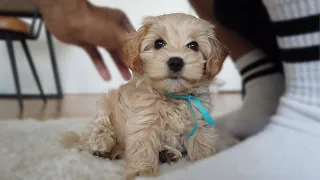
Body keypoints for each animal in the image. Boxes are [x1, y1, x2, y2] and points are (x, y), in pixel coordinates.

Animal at [60, 13, 230, 180]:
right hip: (106, 103)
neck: (172, 96)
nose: (175, 62)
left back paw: (166, 153)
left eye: (193, 46)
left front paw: (205, 162)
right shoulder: (143, 123)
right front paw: (142, 173)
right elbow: (142, 149)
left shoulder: (200, 123)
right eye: (159, 43)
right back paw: (102, 144)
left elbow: (202, 144)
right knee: (96, 129)